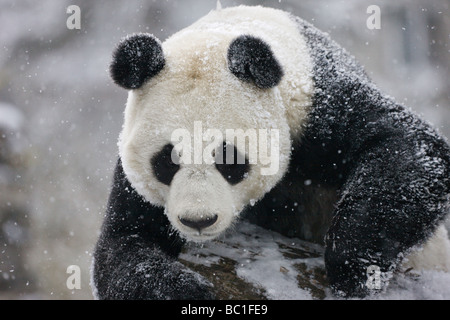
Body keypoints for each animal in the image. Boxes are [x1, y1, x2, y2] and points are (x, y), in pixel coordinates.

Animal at [92, 5, 450, 300]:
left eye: (228, 159)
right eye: (167, 161)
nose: (198, 220)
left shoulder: (320, 106)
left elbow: (410, 147)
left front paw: (354, 266)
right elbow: (122, 245)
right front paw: (183, 289)